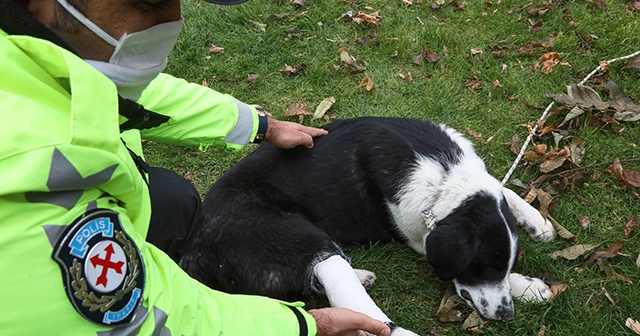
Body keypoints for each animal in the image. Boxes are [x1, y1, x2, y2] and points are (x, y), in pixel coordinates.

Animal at [180, 117, 556, 334]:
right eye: (480, 267)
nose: (506, 315)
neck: (446, 179)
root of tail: (193, 249)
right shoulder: (421, 236)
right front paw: (526, 286)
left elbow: (503, 187)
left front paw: (536, 220)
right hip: (295, 233)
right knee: (332, 277)